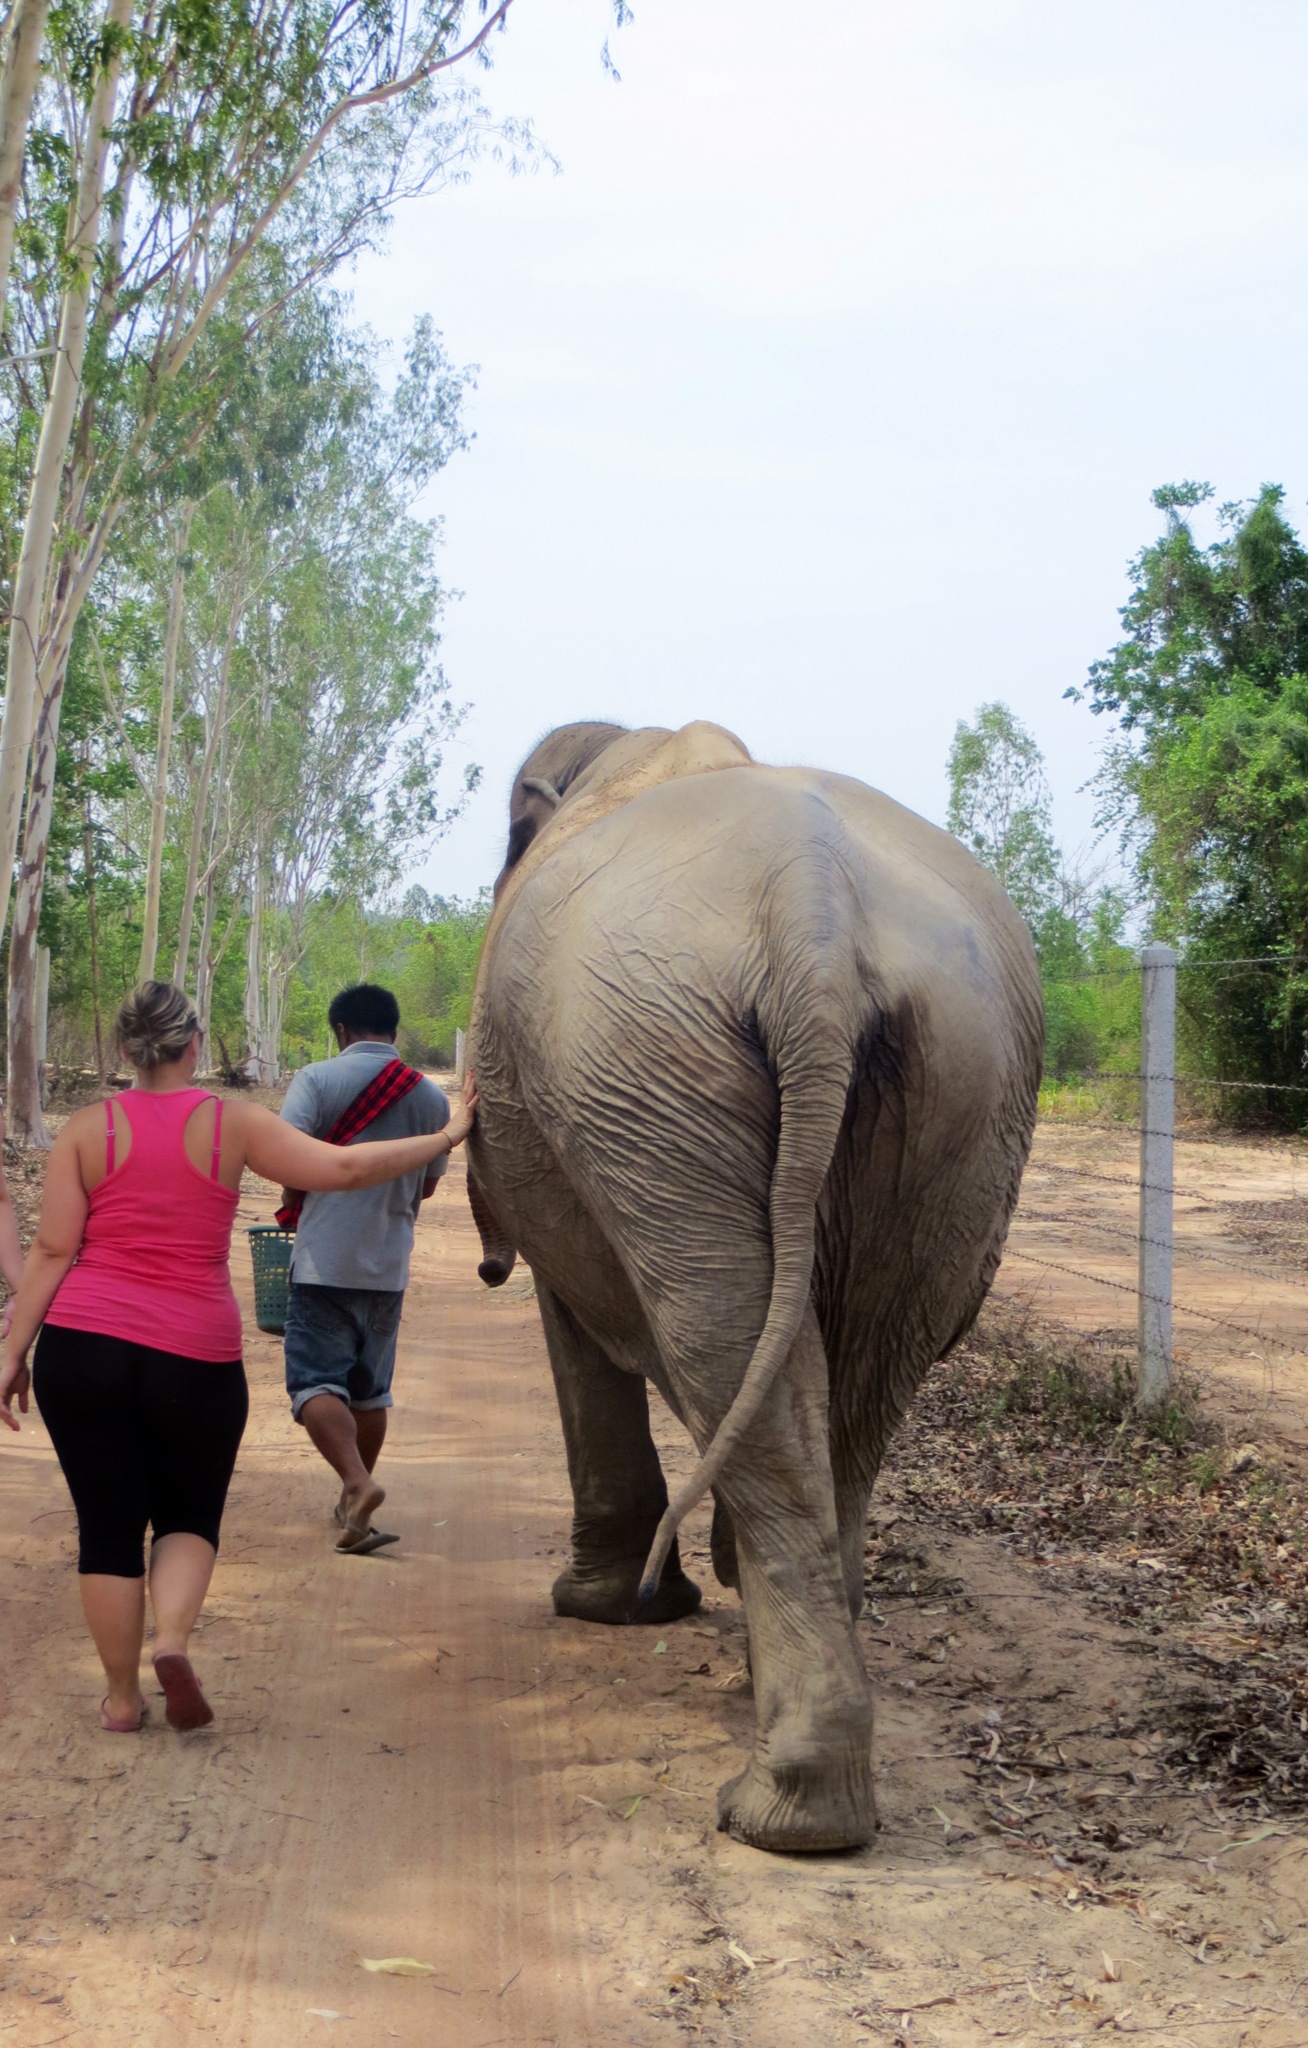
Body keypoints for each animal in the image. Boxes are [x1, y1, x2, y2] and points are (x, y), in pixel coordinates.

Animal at [466, 724, 1039, 1859]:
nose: (482, 1262)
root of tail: (812, 915)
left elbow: (575, 1322)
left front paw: (599, 1606)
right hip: (955, 1089)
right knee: (855, 1376)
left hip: (644, 1067)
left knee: (724, 1345)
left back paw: (778, 1814)